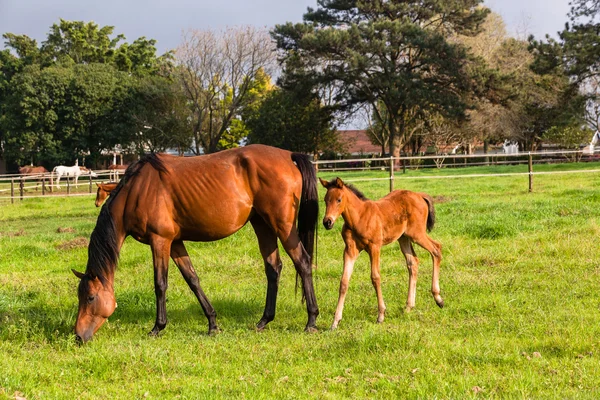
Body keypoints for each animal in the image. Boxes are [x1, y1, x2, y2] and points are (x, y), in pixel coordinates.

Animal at [72, 145, 318, 342]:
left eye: (90, 297)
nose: (78, 336)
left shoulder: (159, 241)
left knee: (303, 262)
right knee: (273, 268)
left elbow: (160, 284)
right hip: (262, 225)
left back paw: (311, 320)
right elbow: (192, 280)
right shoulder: (175, 243)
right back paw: (264, 320)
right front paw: (212, 324)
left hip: (283, 225)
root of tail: (288, 155)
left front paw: (157, 327)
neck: (136, 191)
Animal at [322, 178, 442, 328]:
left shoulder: (374, 247)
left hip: (417, 234)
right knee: (413, 262)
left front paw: (381, 315)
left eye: (339, 199)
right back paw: (409, 307)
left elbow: (375, 277)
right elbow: (344, 282)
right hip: (404, 238)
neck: (359, 217)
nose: (327, 222)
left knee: (436, 249)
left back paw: (438, 298)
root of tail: (419, 195)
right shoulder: (350, 250)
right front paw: (335, 321)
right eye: (325, 200)